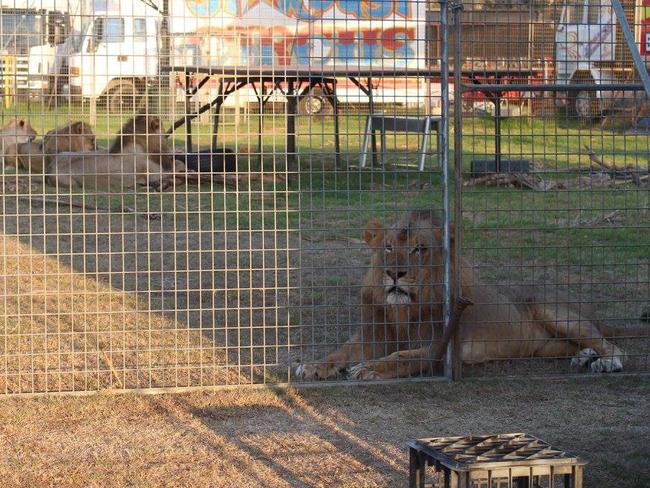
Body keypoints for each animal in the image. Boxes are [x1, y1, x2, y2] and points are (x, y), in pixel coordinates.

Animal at [294, 210, 636, 382]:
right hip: (544, 346)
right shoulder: (374, 335)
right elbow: (340, 352)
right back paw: (584, 356)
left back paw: (605, 362)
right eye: (388, 247)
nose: (394, 274)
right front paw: (314, 365)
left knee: (613, 345)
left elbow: (403, 356)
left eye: (420, 249)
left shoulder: (441, 348)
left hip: (555, 311)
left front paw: (370, 368)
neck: (404, 310)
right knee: (580, 345)